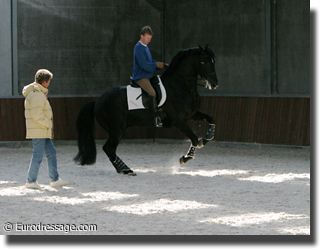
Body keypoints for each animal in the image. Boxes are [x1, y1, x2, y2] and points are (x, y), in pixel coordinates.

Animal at [75, 44, 219, 176]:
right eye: (204, 61)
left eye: (213, 61)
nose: (215, 84)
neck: (180, 85)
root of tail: (97, 101)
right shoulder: (179, 121)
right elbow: (194, 138)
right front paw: (185, 158)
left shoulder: (192, 114)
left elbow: (211, 119)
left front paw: (207, 138)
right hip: (117, 130)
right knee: (109, 148)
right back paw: (126, 169)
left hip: (118, 129)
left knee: (110, 149)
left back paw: (123, 169)